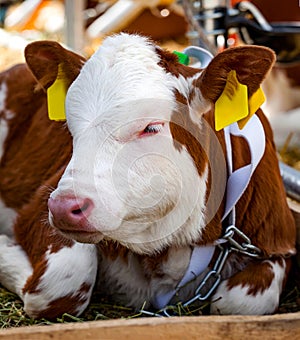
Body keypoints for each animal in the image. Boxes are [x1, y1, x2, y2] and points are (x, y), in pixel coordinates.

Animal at [0, 33, 296, 318]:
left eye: (151, 127)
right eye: (70, 127)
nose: (63, 207)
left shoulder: (276, 238)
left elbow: (241, 302)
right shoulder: (36, 211)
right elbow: (59, 284)